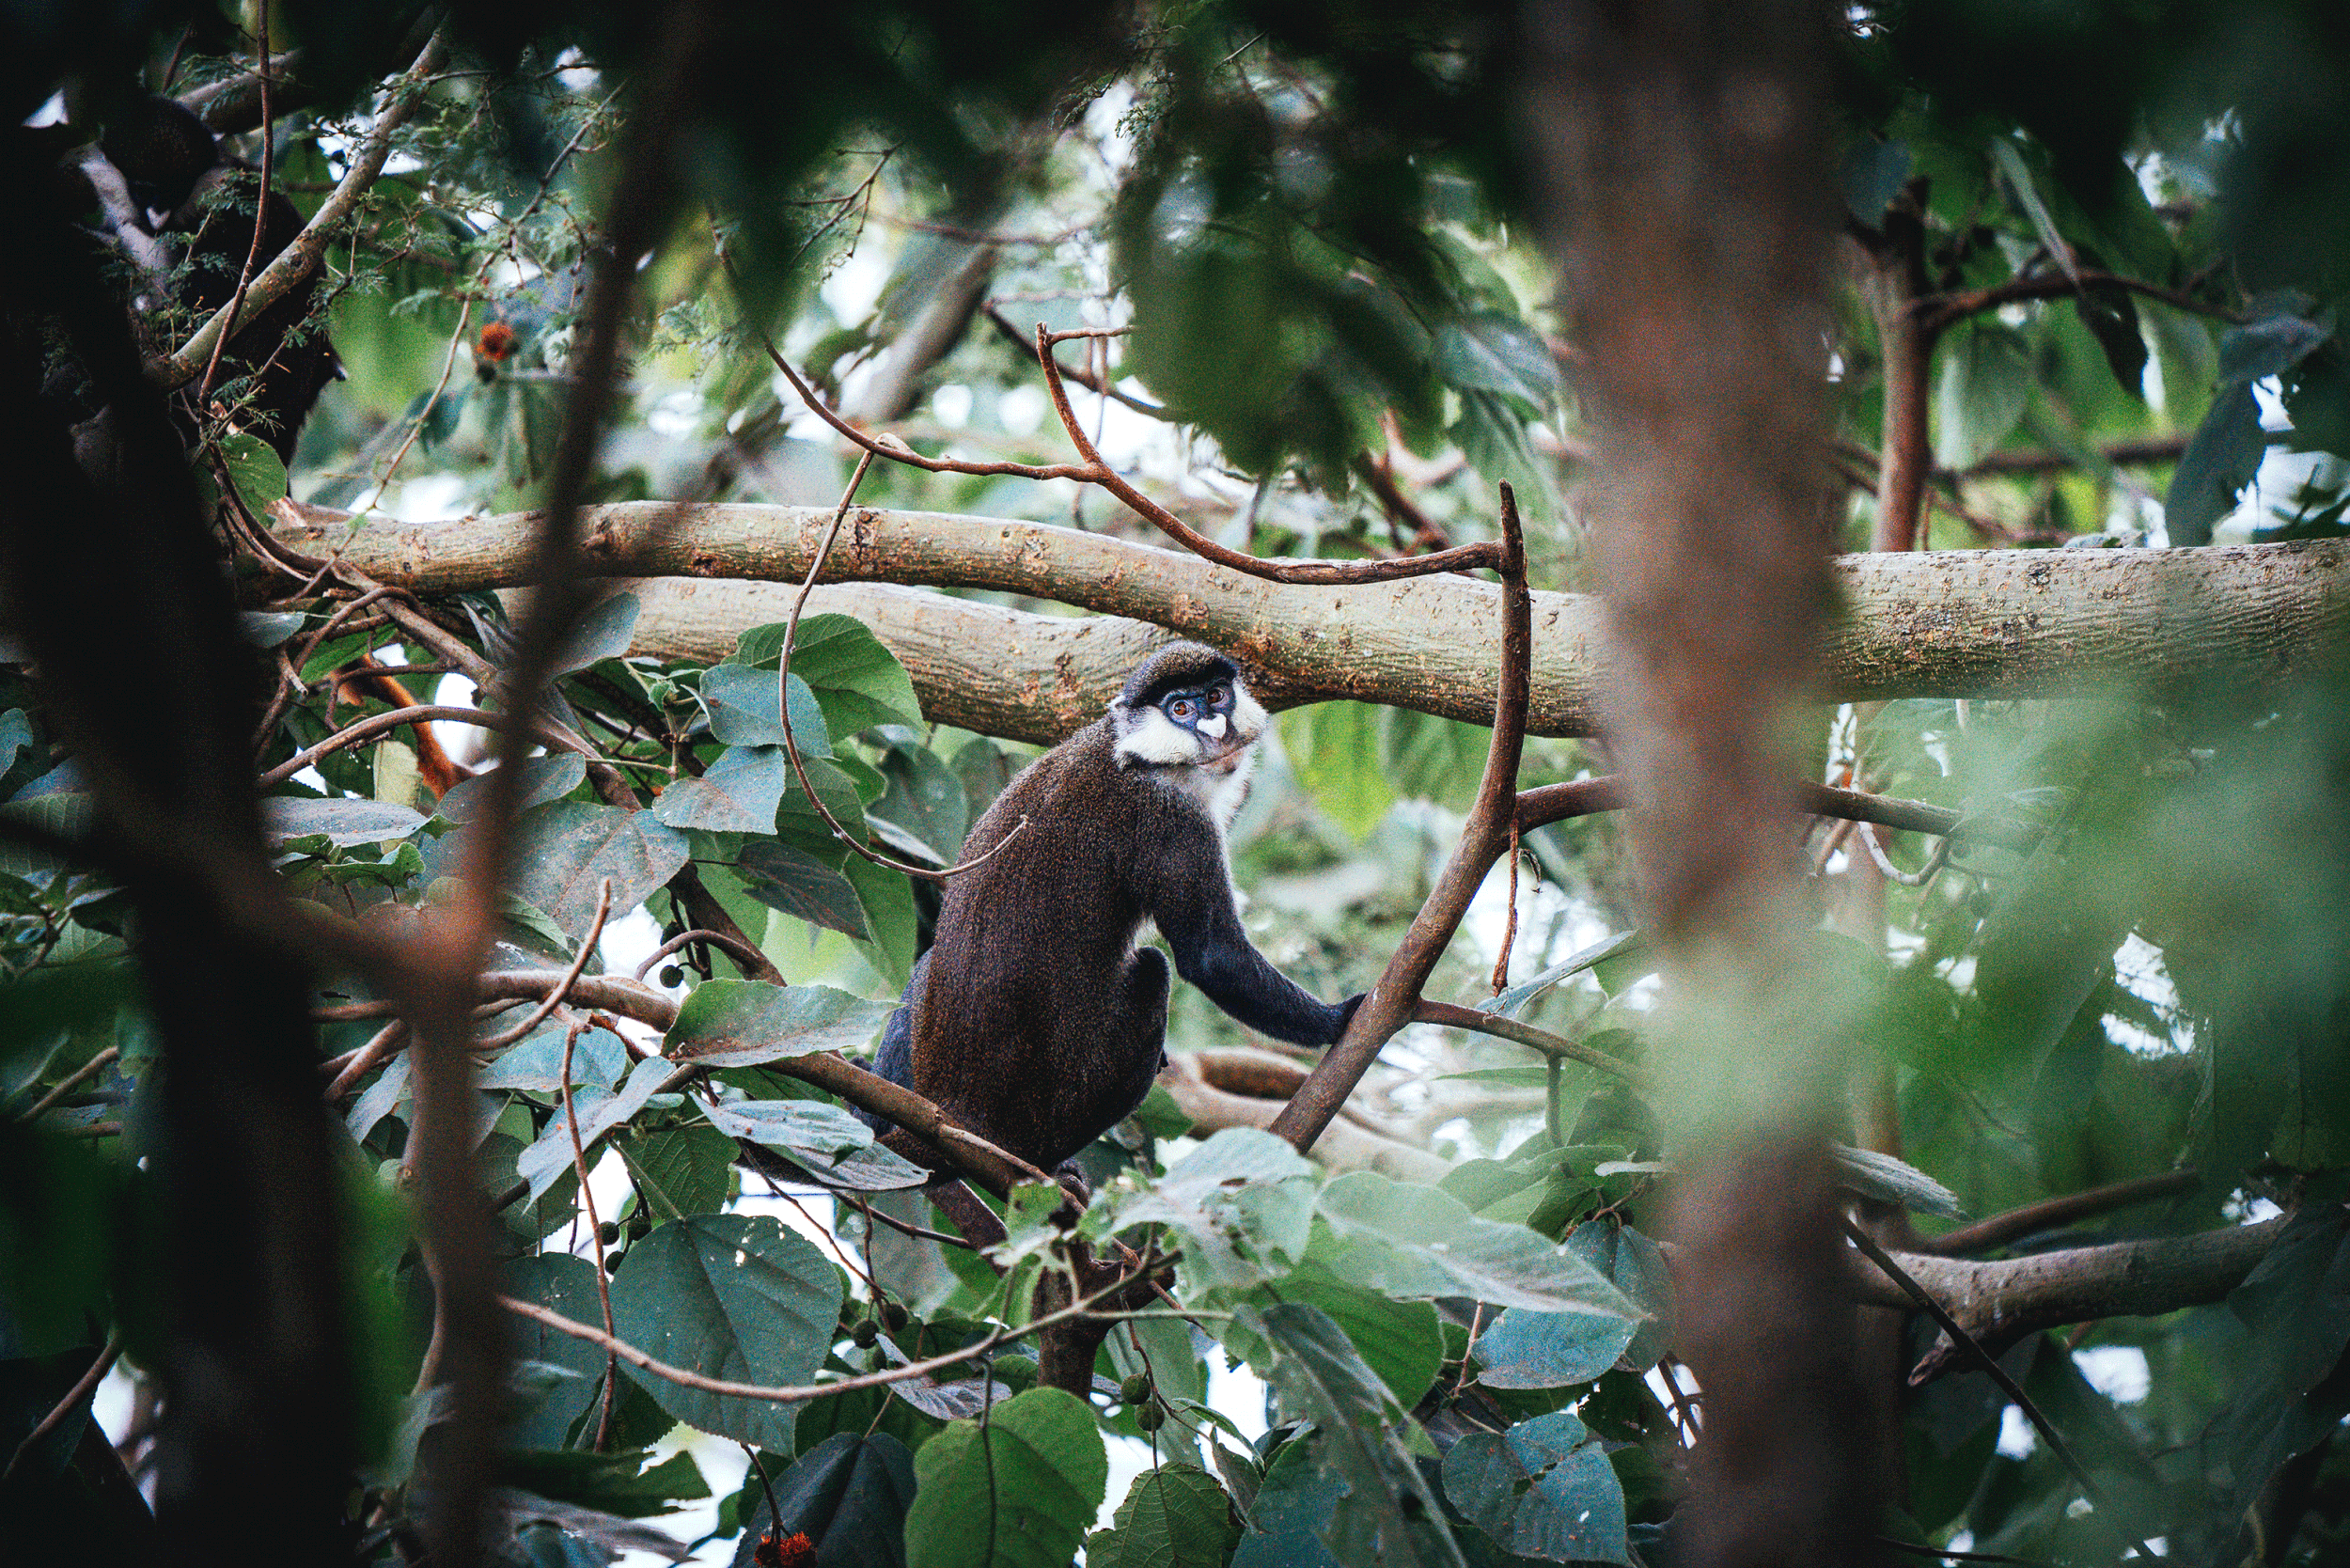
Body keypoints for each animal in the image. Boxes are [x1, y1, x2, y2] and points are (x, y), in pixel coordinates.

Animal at [854, 641, 1364, 1191]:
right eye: (1180, 709)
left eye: (1216, 695)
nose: (1217, 729)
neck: (1139, 758)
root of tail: (955, 1114)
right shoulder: (1173, 825)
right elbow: (1211, 956)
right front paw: (1343, 1019)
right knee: (1154, 970)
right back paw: (1046, 1164)